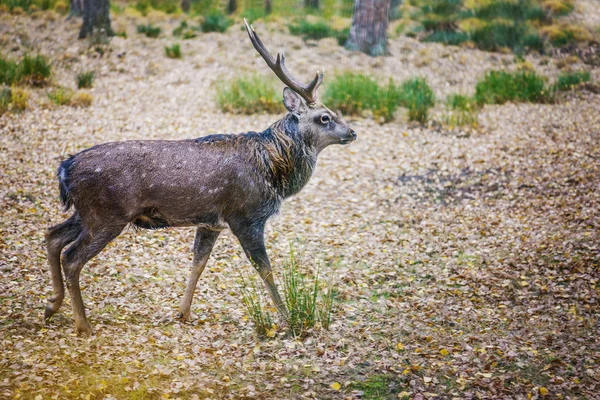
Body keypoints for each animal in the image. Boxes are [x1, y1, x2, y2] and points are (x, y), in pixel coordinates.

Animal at [45, 20, 356, 336]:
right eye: (325, 117)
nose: (353, 132)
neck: (272, 169)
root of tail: (65, 169)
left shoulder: (210, 222)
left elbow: (198, 262)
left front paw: (182, 312)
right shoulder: (245, 216)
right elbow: (265, 269)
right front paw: (287, 318)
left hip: (87, 212)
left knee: (53, 236)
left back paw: (52, 305)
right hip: (106, 213)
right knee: (71, 257)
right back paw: (82, 323)